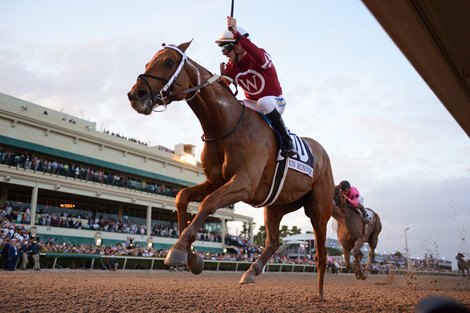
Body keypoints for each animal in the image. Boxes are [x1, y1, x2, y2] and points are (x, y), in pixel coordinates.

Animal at [129, 41, 334, 298]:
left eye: (168, 62)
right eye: (148, 62)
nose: (136, 95)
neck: (226, 125)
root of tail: (323, 153)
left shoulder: (244, 184)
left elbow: (209, 202)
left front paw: (179, 250)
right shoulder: (215, 180)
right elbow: (181, 197)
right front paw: (192, 258)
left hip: (318, 210)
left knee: (322, 254)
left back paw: (320, 293)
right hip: (276, 205)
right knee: (274, 242)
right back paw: (251, 272)